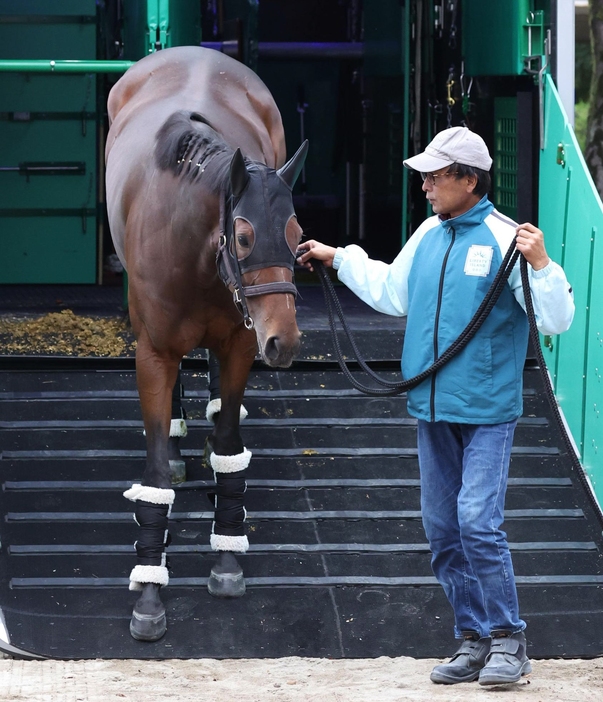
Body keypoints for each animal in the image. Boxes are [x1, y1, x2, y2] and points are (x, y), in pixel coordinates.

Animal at [104, 46, 310, 644]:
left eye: (296, 235)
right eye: (242, 236)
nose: (284, 341)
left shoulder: (240, 345)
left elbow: (228, 447)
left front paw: (226, 558)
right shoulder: (154, 354)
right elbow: (152, 476)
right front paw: (150, 592)